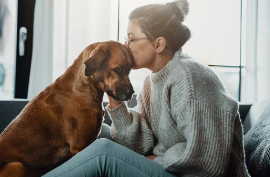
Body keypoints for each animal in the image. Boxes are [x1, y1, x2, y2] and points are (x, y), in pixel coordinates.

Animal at [0, 40, 134, 176]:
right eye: (118, 69)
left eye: (129, 70)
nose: (131, 93)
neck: (83, 89)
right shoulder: (80, 146)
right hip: (16, 165)